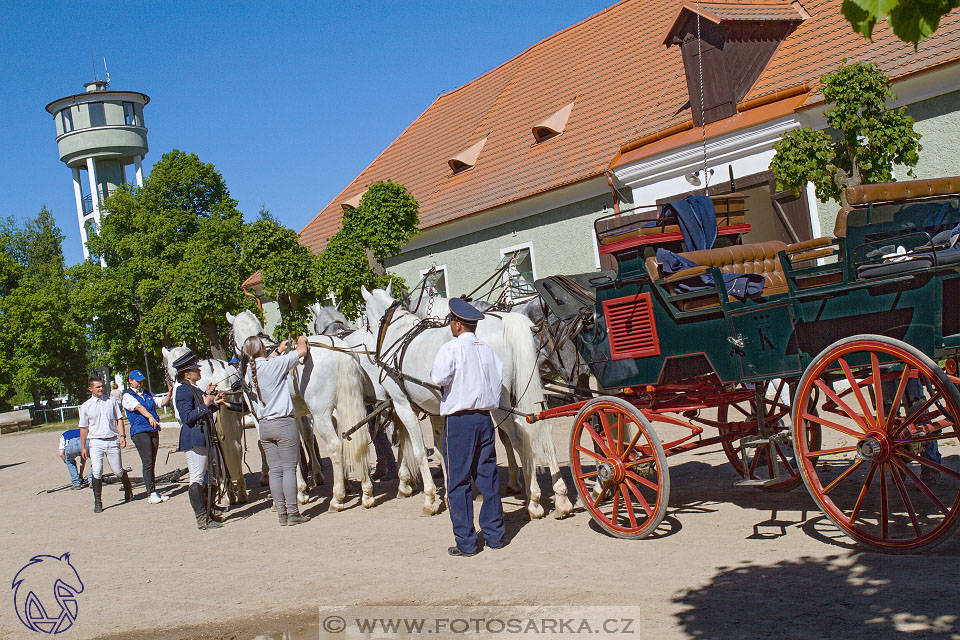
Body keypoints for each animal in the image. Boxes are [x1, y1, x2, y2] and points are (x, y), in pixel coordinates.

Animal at [159, 348, 248, 508]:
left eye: (166, 369)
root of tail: (216, 367)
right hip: (236, 419)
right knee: (236, 449)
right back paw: (241, 493)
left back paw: (227, 493)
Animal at [227, 310, 374, 510]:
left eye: (229, 337)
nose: (232, 361)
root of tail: (337, 351)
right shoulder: (293, 415)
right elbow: (296, 447)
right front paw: (302, 490)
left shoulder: (260, 420)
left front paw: (289, 495)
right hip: (348, 405)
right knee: (360, 438)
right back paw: (366, 492)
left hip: (321, 414)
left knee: (335, 446)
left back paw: (337, 497)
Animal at [362, 284, 568, 520]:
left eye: (364, 318)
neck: (399, 337)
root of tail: (504, 322)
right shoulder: (436, 411)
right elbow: (440, 449)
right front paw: (449, 494)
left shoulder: (402, 405)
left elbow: (419, 450)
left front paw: (430, 499)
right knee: (541, 429)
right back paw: (561, 497)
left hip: (501, 404)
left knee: (519, 436)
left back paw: (533, 500)